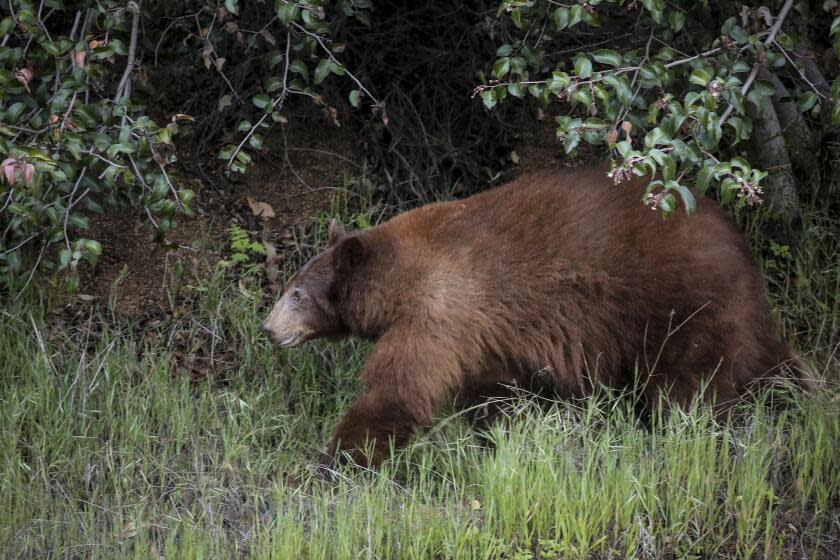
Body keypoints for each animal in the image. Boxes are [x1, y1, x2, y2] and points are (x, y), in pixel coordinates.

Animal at [262, 166, 812, 468]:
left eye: (296, 293)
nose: (268, 328)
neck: (398, 277)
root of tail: (735, 240)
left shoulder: (438, 314)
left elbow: (397, 391)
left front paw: (335, 463)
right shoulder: (482, 334)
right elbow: (496, 395)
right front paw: (503, 440)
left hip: (680, 303)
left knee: (690, 384)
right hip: (735, 309)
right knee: (766, 358)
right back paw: (801, 400)